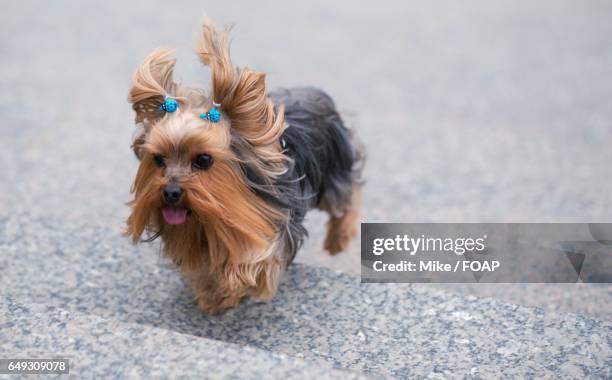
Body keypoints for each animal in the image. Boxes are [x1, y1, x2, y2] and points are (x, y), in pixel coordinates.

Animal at [125, 19, 364, 314]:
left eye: (203, 160)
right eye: (158, 159)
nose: (170, 192)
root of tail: (313, 94)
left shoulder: (274, 229)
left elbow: (255, 259)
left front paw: (231, 286)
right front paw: (211, 293)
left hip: (335, 169)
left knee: (348, 195)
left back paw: (338, 239)